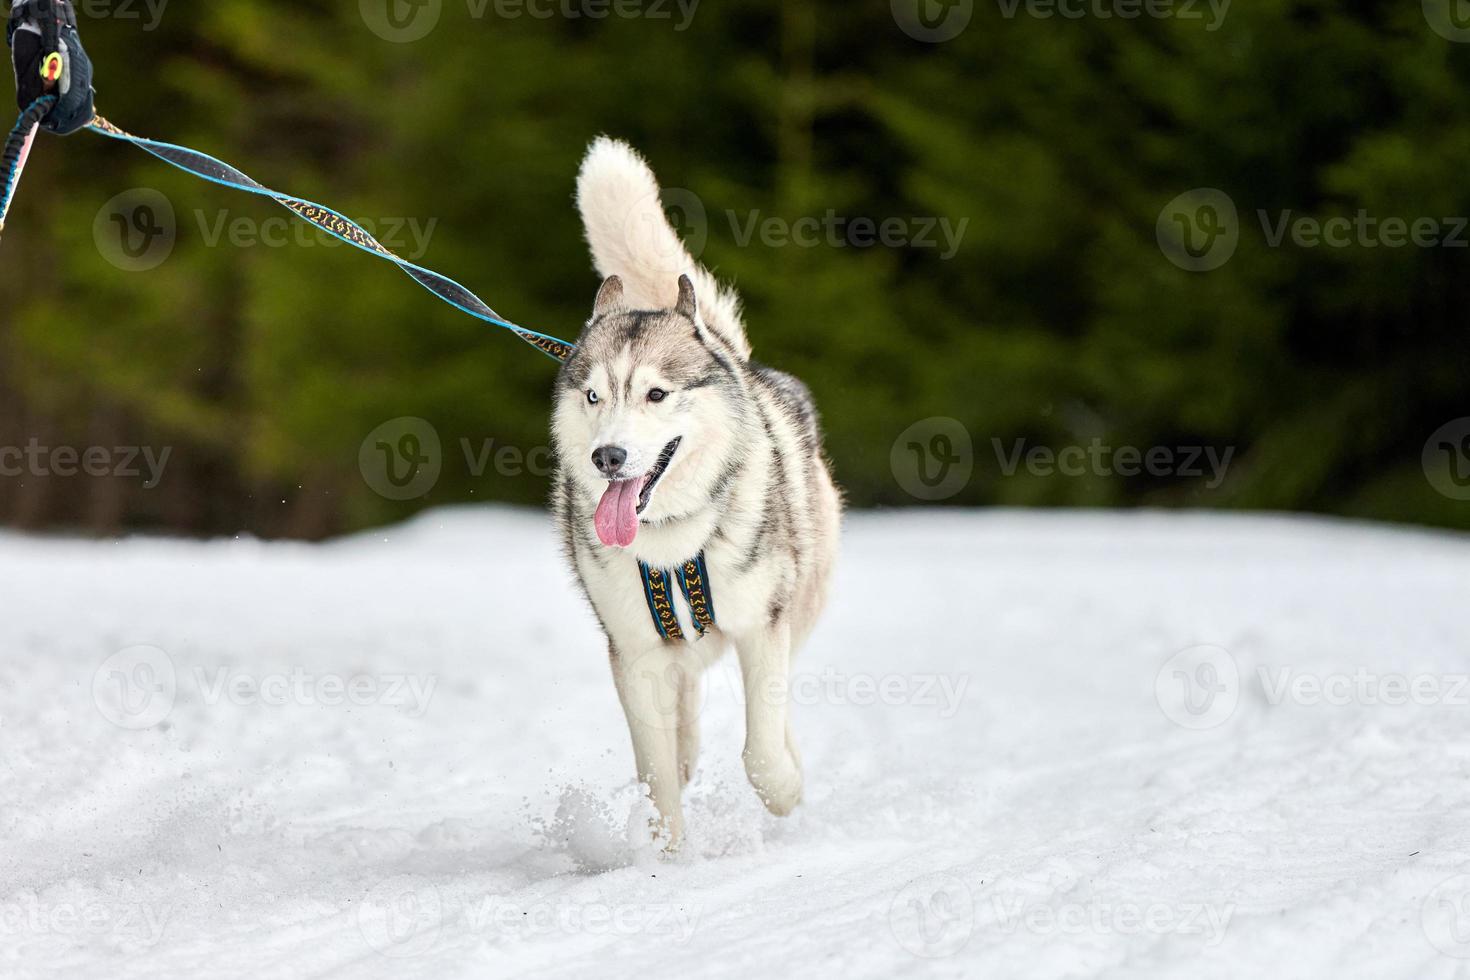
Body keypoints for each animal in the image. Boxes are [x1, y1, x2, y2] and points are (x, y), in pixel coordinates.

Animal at [555, 138, 846, 852]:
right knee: (679, 710)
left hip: (802, 597)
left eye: (656, 394)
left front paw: (784, 790)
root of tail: (738, 360)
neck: (672, 544)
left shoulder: (762, 625)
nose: (608, 457)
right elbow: (656, 775)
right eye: (594, 396)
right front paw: (664, 855)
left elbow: (761, 751)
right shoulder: (632, 651)